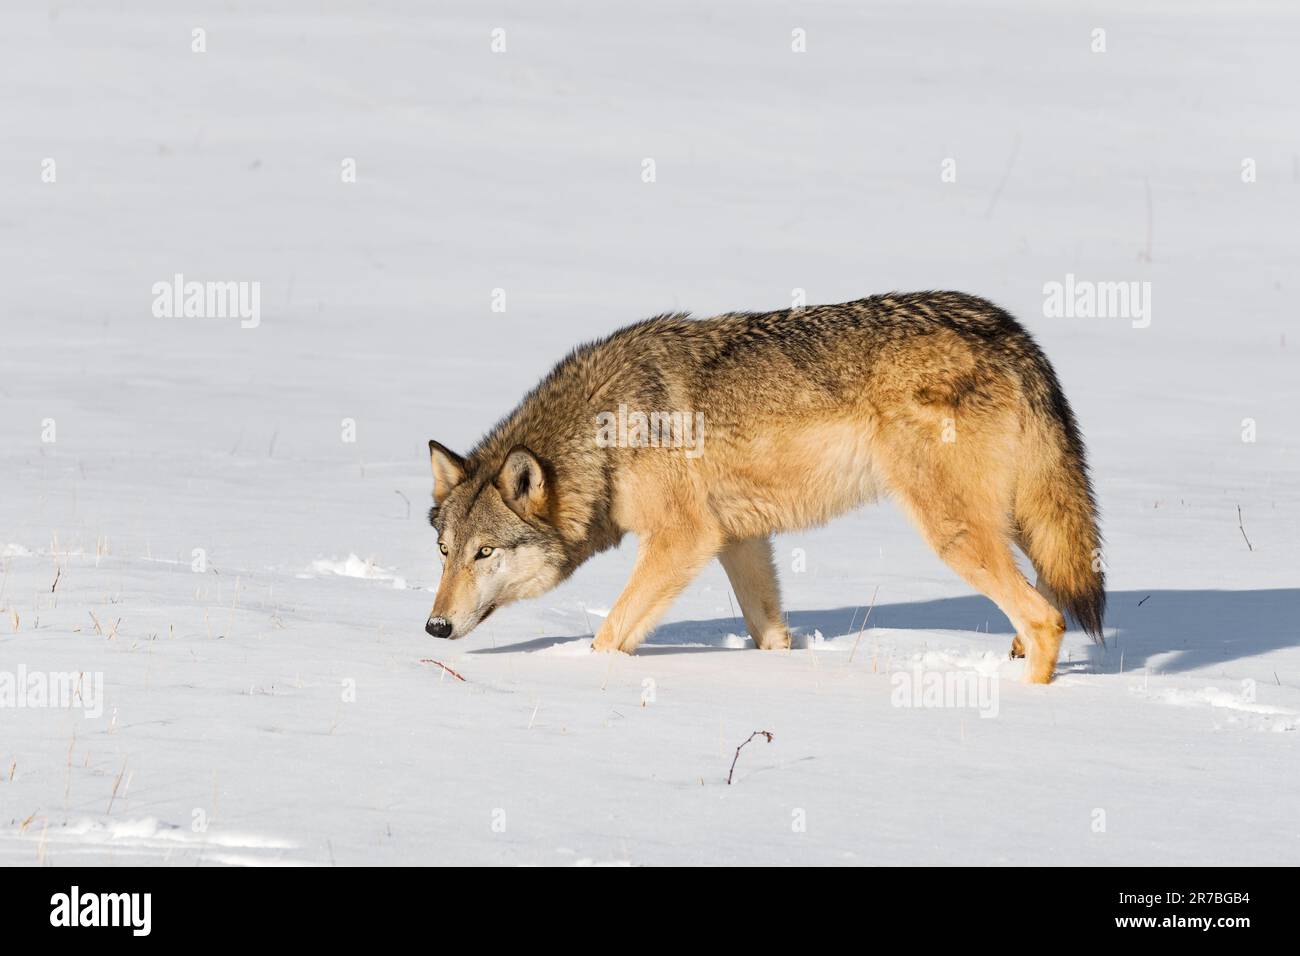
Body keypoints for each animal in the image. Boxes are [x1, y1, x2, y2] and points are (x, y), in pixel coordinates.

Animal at [426, 291, 1107, 681]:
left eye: (485, 552)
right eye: (445, 552)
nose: (434, 627)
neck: (604, 436)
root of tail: (1010, 331)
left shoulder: (683, 539)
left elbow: (608, 636)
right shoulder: (737, 539)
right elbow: (770, 634)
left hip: (954, 534)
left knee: (1047, 619)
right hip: (1020, 522)